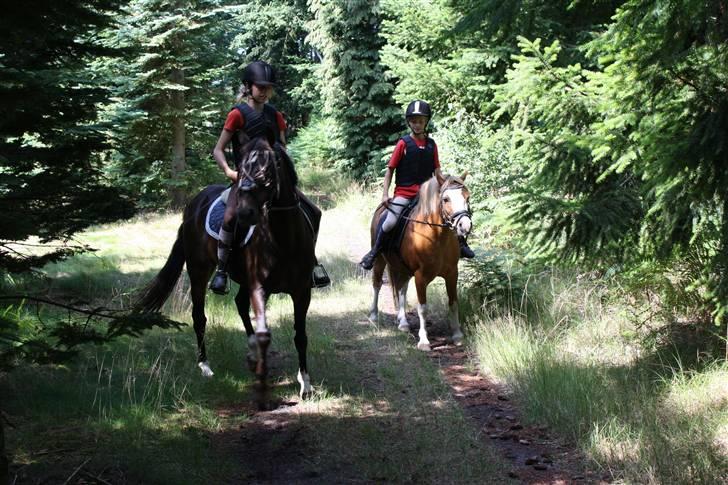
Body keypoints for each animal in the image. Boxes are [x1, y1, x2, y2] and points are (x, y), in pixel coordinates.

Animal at [136, 135, 316, 400]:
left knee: (239, 304)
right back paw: (205, 366)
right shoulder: (260, 289)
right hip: (199, 271)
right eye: (241, 168)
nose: (245, 213)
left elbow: (301, 336)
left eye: (268, 169)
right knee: (199, 317)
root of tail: (193, 206)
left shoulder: (302, 291)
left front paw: (305, 382)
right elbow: (264, 333)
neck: (284, 239)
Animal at [370, 176, 472, 350]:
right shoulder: (420, 276)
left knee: (401, 289)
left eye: (467, 197)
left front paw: (457, 335)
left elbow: (453, 303)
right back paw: (373, 316)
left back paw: (403, 322)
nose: (464, 225)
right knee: (377, 284)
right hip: (380, 260)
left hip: (403, 268)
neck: (437, 237)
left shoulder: (452, 273)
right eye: (445, 199)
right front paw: (424, 340)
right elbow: (423, 308)